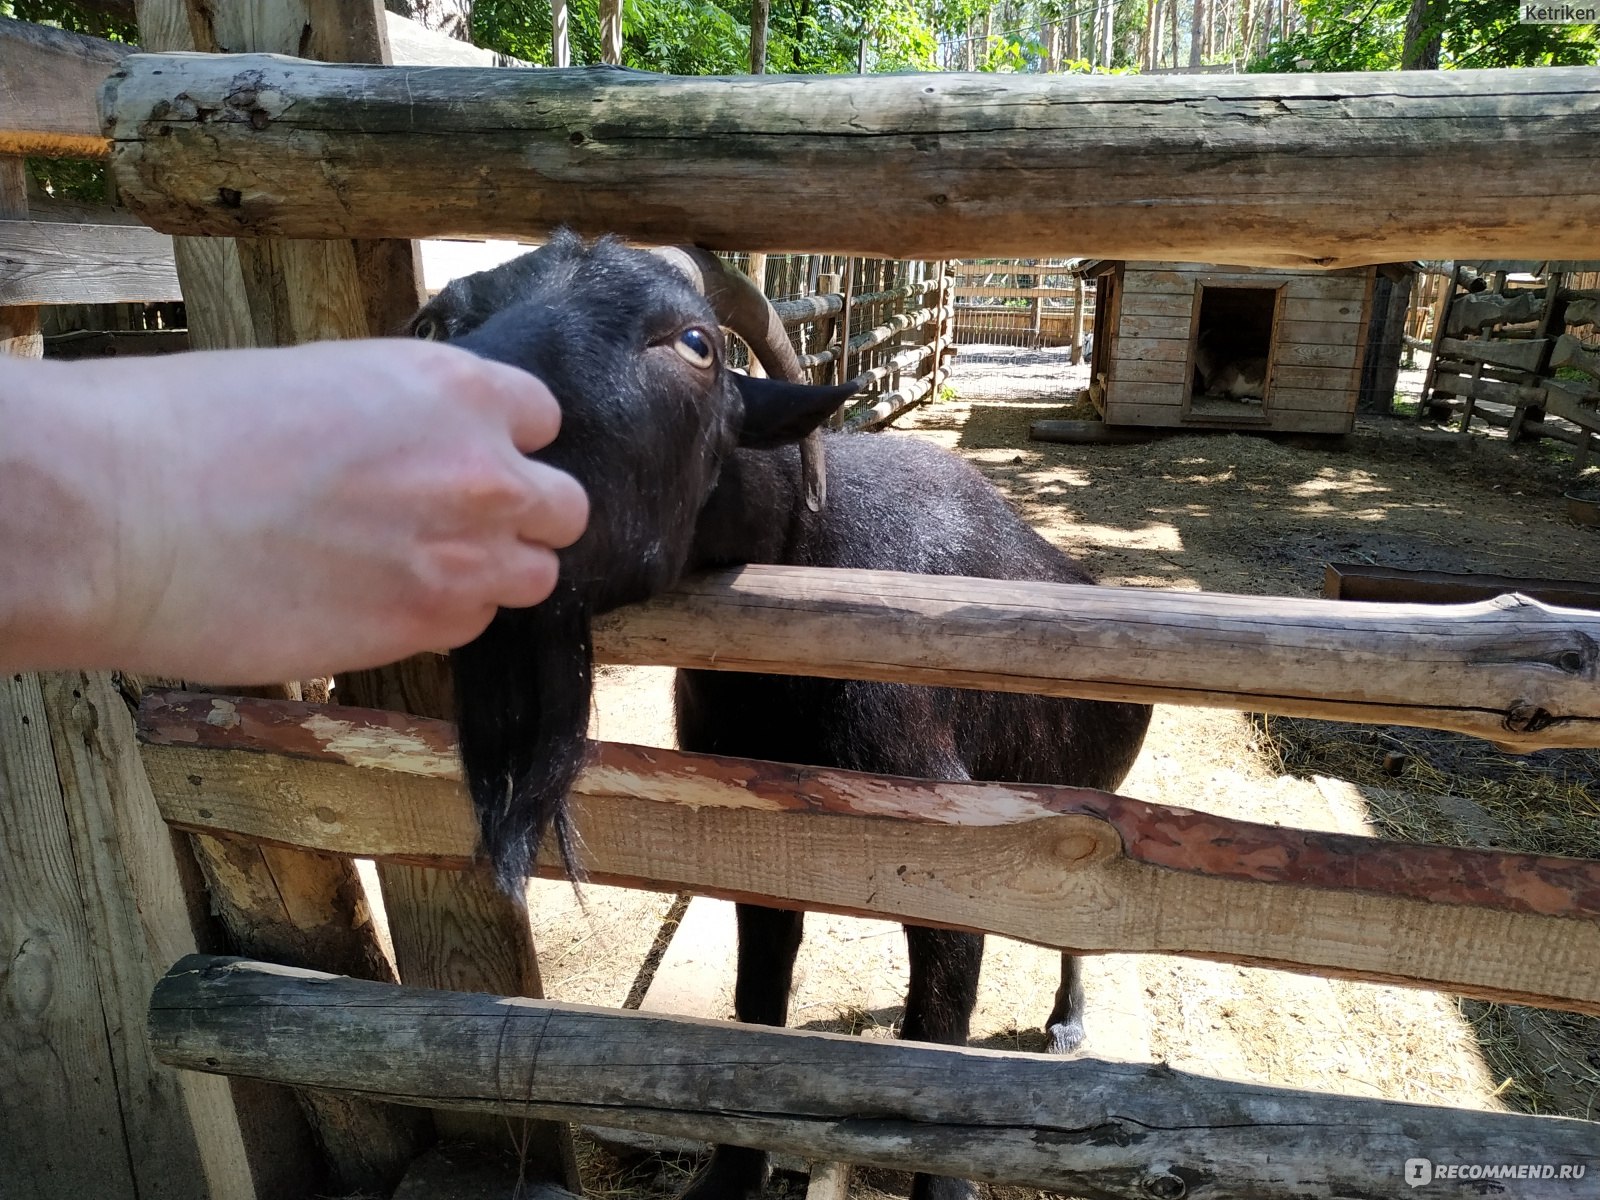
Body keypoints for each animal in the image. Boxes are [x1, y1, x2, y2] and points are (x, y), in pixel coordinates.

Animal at [419, 235, 1152, 1200]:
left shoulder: (962, 859)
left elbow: (939, 1046)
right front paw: (728, 1177)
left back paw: (1068, 1024)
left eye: (696, 342)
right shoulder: (760, 852)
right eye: (438, 321)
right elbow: (757, 1009)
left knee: (1078, 936)